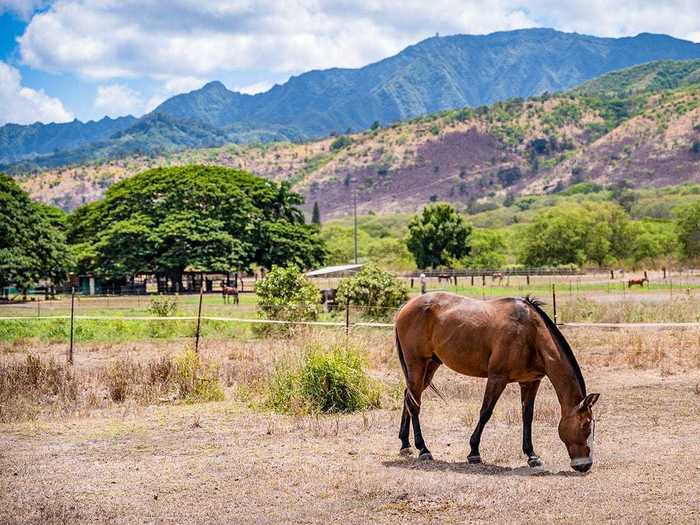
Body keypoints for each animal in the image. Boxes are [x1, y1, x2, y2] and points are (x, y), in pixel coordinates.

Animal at [396, 290, 600, 470]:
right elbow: (485, 412)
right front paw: (474, 452)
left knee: (408, 396)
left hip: (430, 365)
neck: (531, 334)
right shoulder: (497, 378)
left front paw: (532, 455)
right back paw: (423, 449)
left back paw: (405, 445)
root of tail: (406, 307)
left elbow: (527, 416)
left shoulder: (531, 382)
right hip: (417, 364)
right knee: (414, 403)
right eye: (585, 424)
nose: (584, 465)